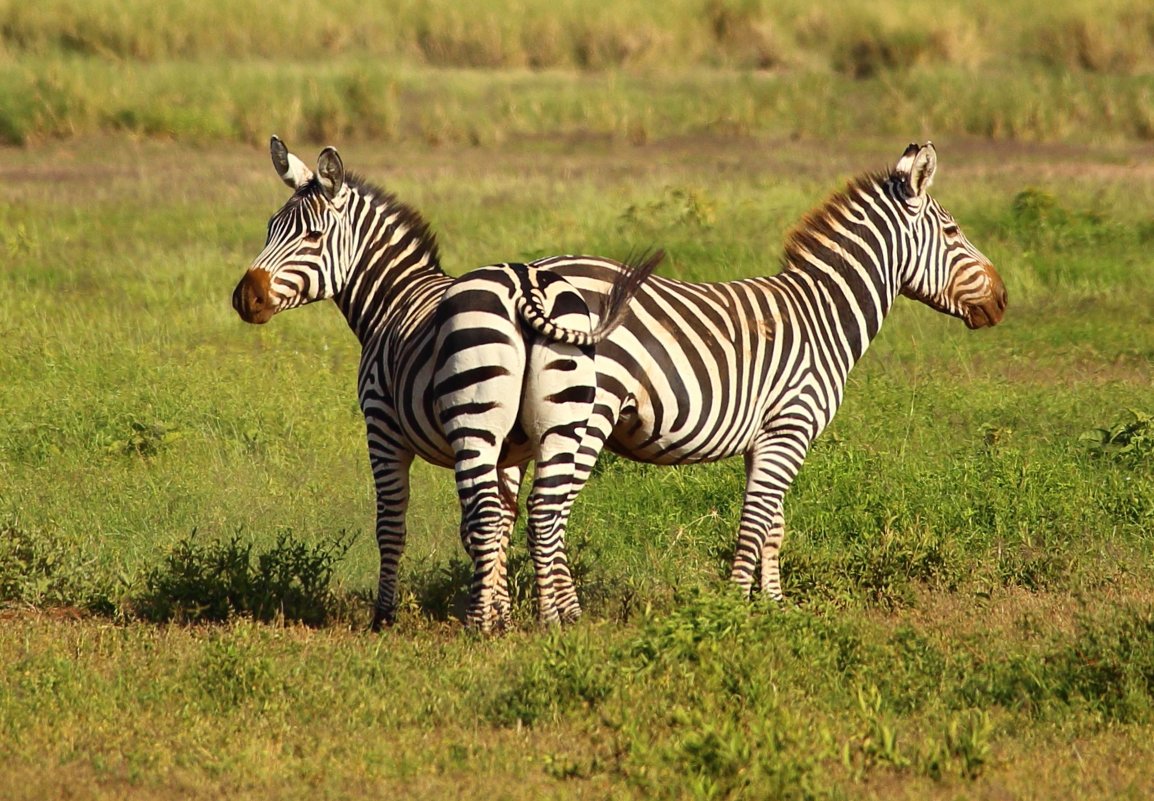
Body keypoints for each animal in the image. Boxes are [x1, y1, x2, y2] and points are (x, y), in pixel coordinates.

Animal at [230, 139, 664, 632]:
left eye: (313, 238)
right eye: (270, 229)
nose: (245, 298)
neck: (395, 299)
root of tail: (525, 285)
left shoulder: (382, 427)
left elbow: (394, 525)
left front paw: (385, 617)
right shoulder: (510, 452)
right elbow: (498, 526)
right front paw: (504, 616)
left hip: (473, 420)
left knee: (488, 515)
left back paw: (475, 625)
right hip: (562, 422)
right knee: (544, 513)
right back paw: (554, 618)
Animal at [510, 142, 1006, 609]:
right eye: (953, 231)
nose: (1002, 299)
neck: (821, 316)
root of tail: (532, 276)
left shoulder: (765, 437)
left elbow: (773, 527)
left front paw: (774, 607)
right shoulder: (791, 426)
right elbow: (753, 524)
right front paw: (736, 611)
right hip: (585, 416)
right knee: (546, 512)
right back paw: (561, 620)